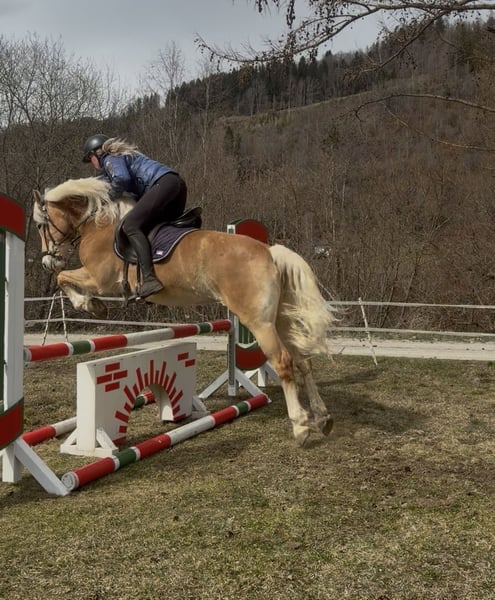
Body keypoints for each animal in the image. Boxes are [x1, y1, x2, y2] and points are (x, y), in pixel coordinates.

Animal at [33, 177, 337, 446]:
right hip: (281, 320)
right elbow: (64, 278)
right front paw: (90, 304)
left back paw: (301, 426)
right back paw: (322, 418)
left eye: (40, 225)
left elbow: (63, 279)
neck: (97, 227)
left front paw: (90, 305)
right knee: (303, 362)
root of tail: (269, 251)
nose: (47, 261)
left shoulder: (100, 280)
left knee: (284, 362)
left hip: (258, 322)